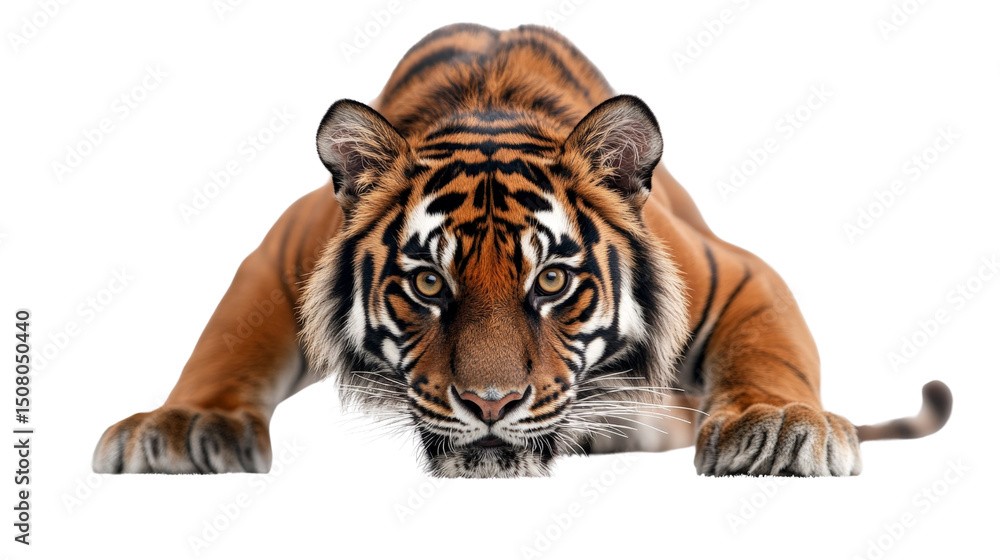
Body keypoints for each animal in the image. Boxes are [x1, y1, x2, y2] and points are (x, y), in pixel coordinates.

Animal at [93, 23, 952, 478]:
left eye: (554, 281)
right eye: (427, 285)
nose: (491, 405)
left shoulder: (731, 273)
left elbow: (770, 351)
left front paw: (777, 426)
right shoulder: (284, 256)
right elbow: (228, 340)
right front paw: (181, 426)